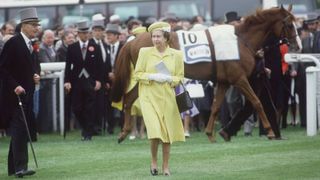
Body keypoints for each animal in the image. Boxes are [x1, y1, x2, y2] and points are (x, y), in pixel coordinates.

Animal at [112, 5, 300, 143]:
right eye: (290, 24)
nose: (297, 45)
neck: (240, 41)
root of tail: (132, 40)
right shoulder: (239, 79)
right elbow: (257, 102)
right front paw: (270, 131)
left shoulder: (224, 81)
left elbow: (216, 106)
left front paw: (211, 133)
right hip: (149, 76)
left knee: (128, 99)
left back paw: (124, 133)